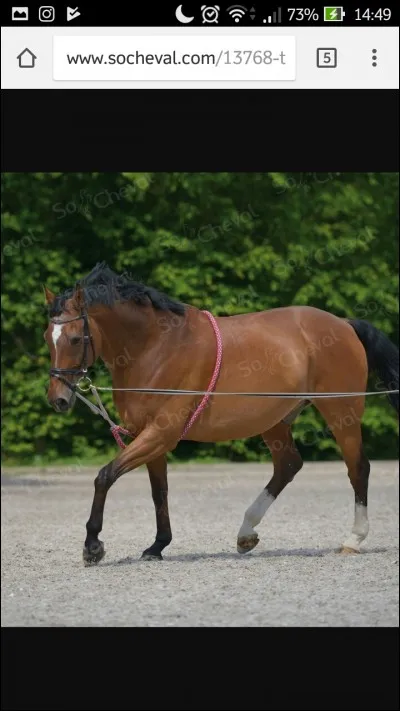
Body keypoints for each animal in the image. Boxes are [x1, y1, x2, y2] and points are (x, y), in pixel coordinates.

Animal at [43, 262, 399, 566]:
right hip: (274, 421)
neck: (156, 347)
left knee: (358, 468)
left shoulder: (160, 434)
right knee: (288, 465)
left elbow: (105, 476)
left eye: (75, 338)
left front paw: (92, 546)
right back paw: (246, 534)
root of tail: (344, 324)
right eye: (49, 338)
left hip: (341, 412)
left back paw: (353, 539)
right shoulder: (150, 436)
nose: (58, 399)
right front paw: (157, 546)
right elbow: (159, 492)